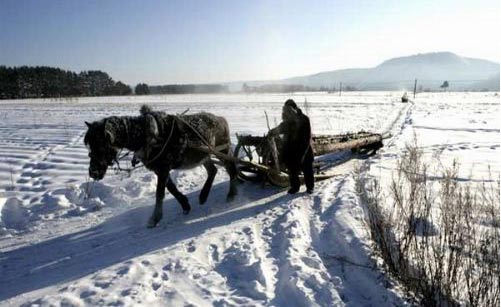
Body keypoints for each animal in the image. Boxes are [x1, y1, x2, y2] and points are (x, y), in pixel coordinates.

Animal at [83, 106, 237, 229]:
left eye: (101, 146)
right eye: (90, 145)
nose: (93, 172)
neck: (147, 135)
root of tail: (221, 119)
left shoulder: (163, 169)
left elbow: (160, 194)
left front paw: (154, 219)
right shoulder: (160, 170)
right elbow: (172, 189)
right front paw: (185, 205)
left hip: (222, 150)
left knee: (231, 168)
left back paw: (231, 194)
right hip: (203, 156)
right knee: (213, 170)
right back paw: (203, 196)